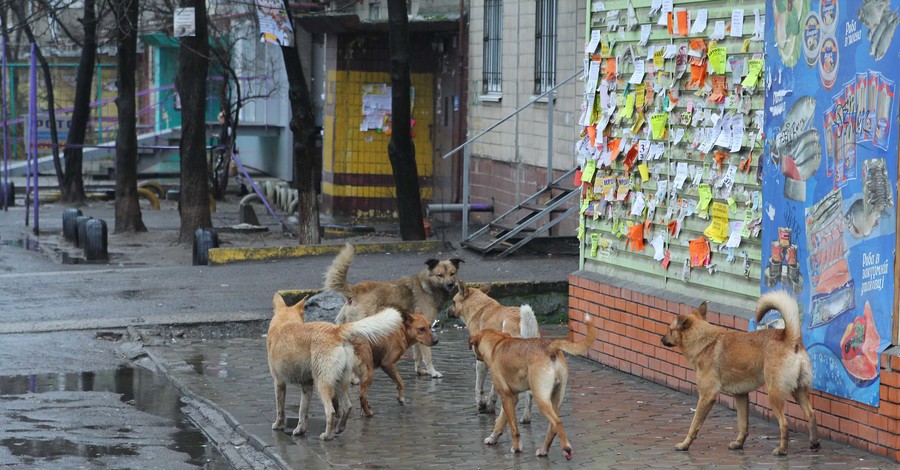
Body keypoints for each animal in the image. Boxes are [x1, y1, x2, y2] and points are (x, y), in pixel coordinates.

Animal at [266, 294, 402, 440]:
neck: (284, 322)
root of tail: (336, 331)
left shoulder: (279, 382)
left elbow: (280, 408)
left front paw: (278, 425)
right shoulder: (307, 385)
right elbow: (303, 410)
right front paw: (300, 430)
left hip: (322, 384)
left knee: (330, 411)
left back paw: (327, 435)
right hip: (339, 381)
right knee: (347, 406)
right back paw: (339, 428)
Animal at [326, 242, 464, 378]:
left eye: (452, 273)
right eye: (440, 275)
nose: (450, 285)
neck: (428, 287)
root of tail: (355, 289)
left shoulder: (419, 332)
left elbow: (418, 355)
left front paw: (420, 371)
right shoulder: (425, 332)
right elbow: (427, 356)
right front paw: (433, 372)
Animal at [446, 280, 536, 422]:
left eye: (453, 302)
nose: (446, 312)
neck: (480, 307)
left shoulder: (481, 361)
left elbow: (479, 386)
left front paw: (481, 404)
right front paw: (489, 405)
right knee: (530, 394)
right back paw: (526, 417)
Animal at [468, 320, 596, 458]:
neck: (496, 345)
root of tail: (550, 347)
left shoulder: (506, 396)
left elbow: (513, 428)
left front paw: (516, 448)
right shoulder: (511, 398)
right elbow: (501, 421)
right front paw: (493, 438)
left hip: (541, 399)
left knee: (557, 422)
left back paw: (566, 448)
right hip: (556, 400)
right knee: (552, 427)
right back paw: (544, 450)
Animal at [656, 290, 820, 456]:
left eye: (670, 330)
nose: (661, 339)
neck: (703, 340)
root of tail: (790, 338)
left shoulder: (706, 396)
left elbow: (694, 424)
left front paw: (685, 444)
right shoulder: (741, 395)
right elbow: (743, 424)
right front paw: (739, 443)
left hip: (774, 394)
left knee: (784, 423)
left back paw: (782, 449)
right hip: (798, 390)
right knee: (811, 414)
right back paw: (814, 443)